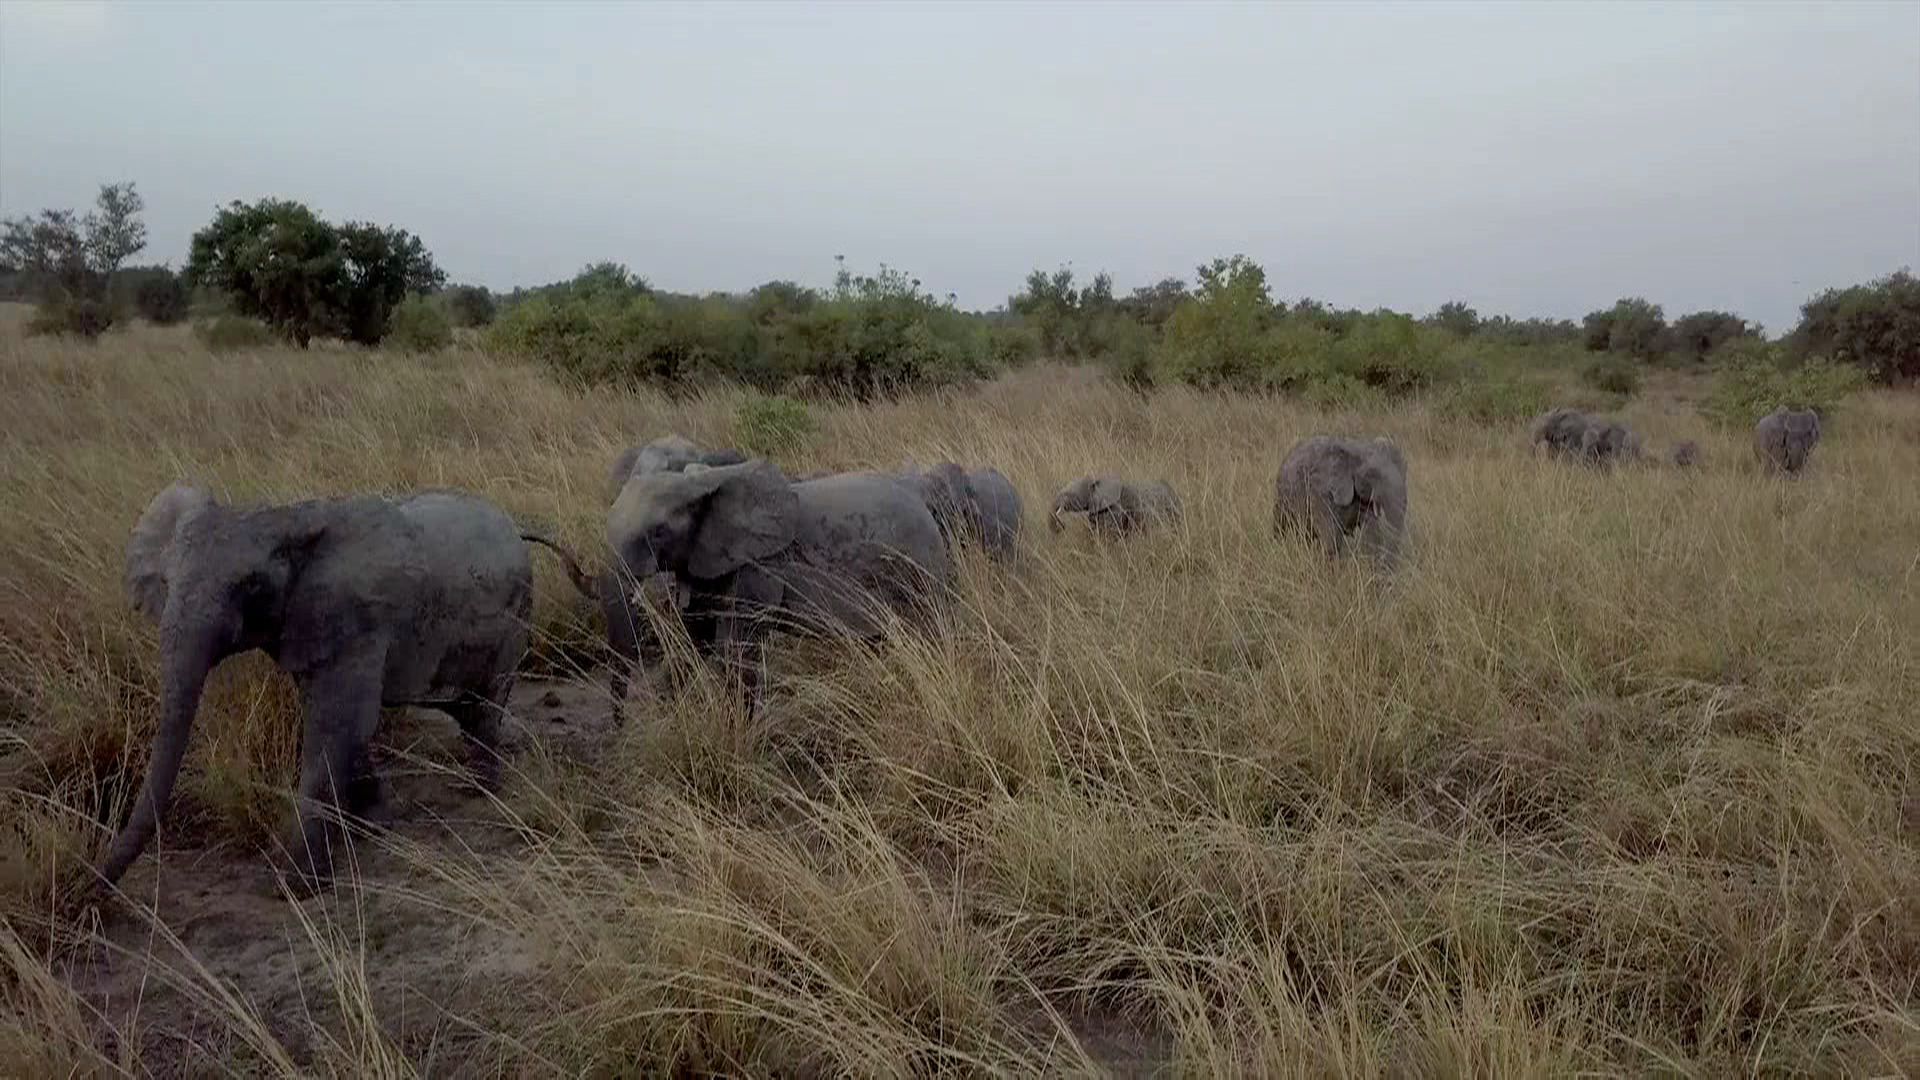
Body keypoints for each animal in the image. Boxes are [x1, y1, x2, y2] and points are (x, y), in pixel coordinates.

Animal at [97, 482, 595, 896]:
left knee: (487, 702)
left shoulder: (359, 621)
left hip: (515, 615)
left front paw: (295, 886)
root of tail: (516, 526)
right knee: (467, 708)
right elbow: (341, 726)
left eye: (250, 586)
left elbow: (338, 726)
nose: (94, 889)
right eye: (166, 582)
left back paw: (484, 791)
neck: (285, 518)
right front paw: (375, 826)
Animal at [602, 460, 952, 713]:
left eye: (659, 532)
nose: (621, 725)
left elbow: (734, 652)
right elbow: (690, 641)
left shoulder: (761, 567)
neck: (706, 481)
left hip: (921, 573)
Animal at [1272, 435, 1409, 564]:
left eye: (1404, 471)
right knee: (1281, 527)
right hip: (1281, 498)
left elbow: (1371, 534)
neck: (1355, 449)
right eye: (1371, 474)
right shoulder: (1321, 491)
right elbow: (1331, 540)